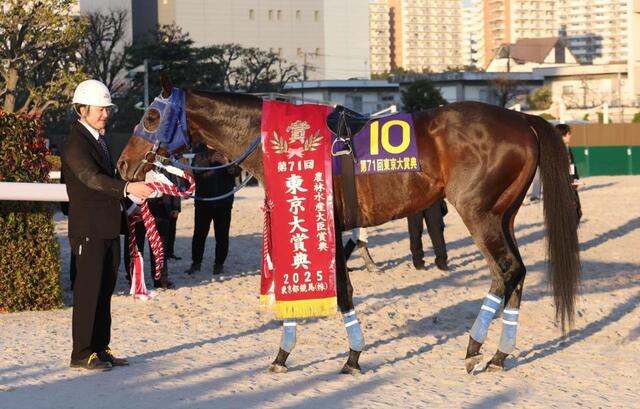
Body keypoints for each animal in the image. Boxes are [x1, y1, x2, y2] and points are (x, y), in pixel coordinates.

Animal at [117, 77, 581, 374]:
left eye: (152, 117)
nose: (122, 163)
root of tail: (521, 120)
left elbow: (333, 294)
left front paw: (323, 356)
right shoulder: (330, 228)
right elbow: (340, 290)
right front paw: (336, 354)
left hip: (478, 213)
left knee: (505, 271)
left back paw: (474, 348)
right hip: (504, 215)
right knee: (516, 273)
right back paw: (500, 355)